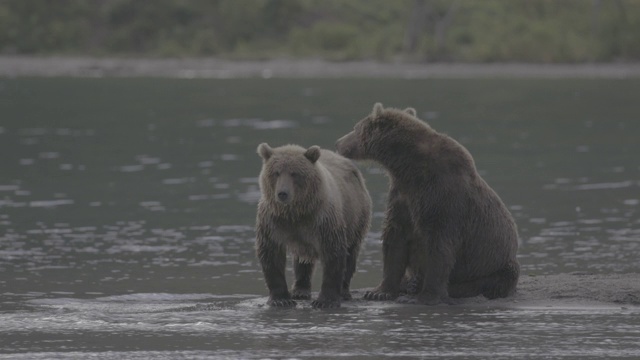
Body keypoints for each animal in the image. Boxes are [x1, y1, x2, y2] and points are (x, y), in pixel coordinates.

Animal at [255, 143, 372, 310]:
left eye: (294, 173)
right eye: (276, 172)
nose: (282, 193)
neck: (296, 212)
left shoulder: (323, 219)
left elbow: (333, 253)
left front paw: (325, 300)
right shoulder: (273, 221)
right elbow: (271, 253)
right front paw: (281, 299)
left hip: (356, 216)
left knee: (351, 253)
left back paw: (344, 291)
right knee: (302, 261)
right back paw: (300, 290)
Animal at [336, 102, 520, 306]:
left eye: (355, 128)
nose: (338, 143)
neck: (408, 166)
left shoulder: (443, 197)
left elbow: (439, 245)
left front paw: (428, 295)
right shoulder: (402, 196)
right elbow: (395, 239)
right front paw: (379, 292)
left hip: (496, 263)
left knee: (493, 279)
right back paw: (411, 282)